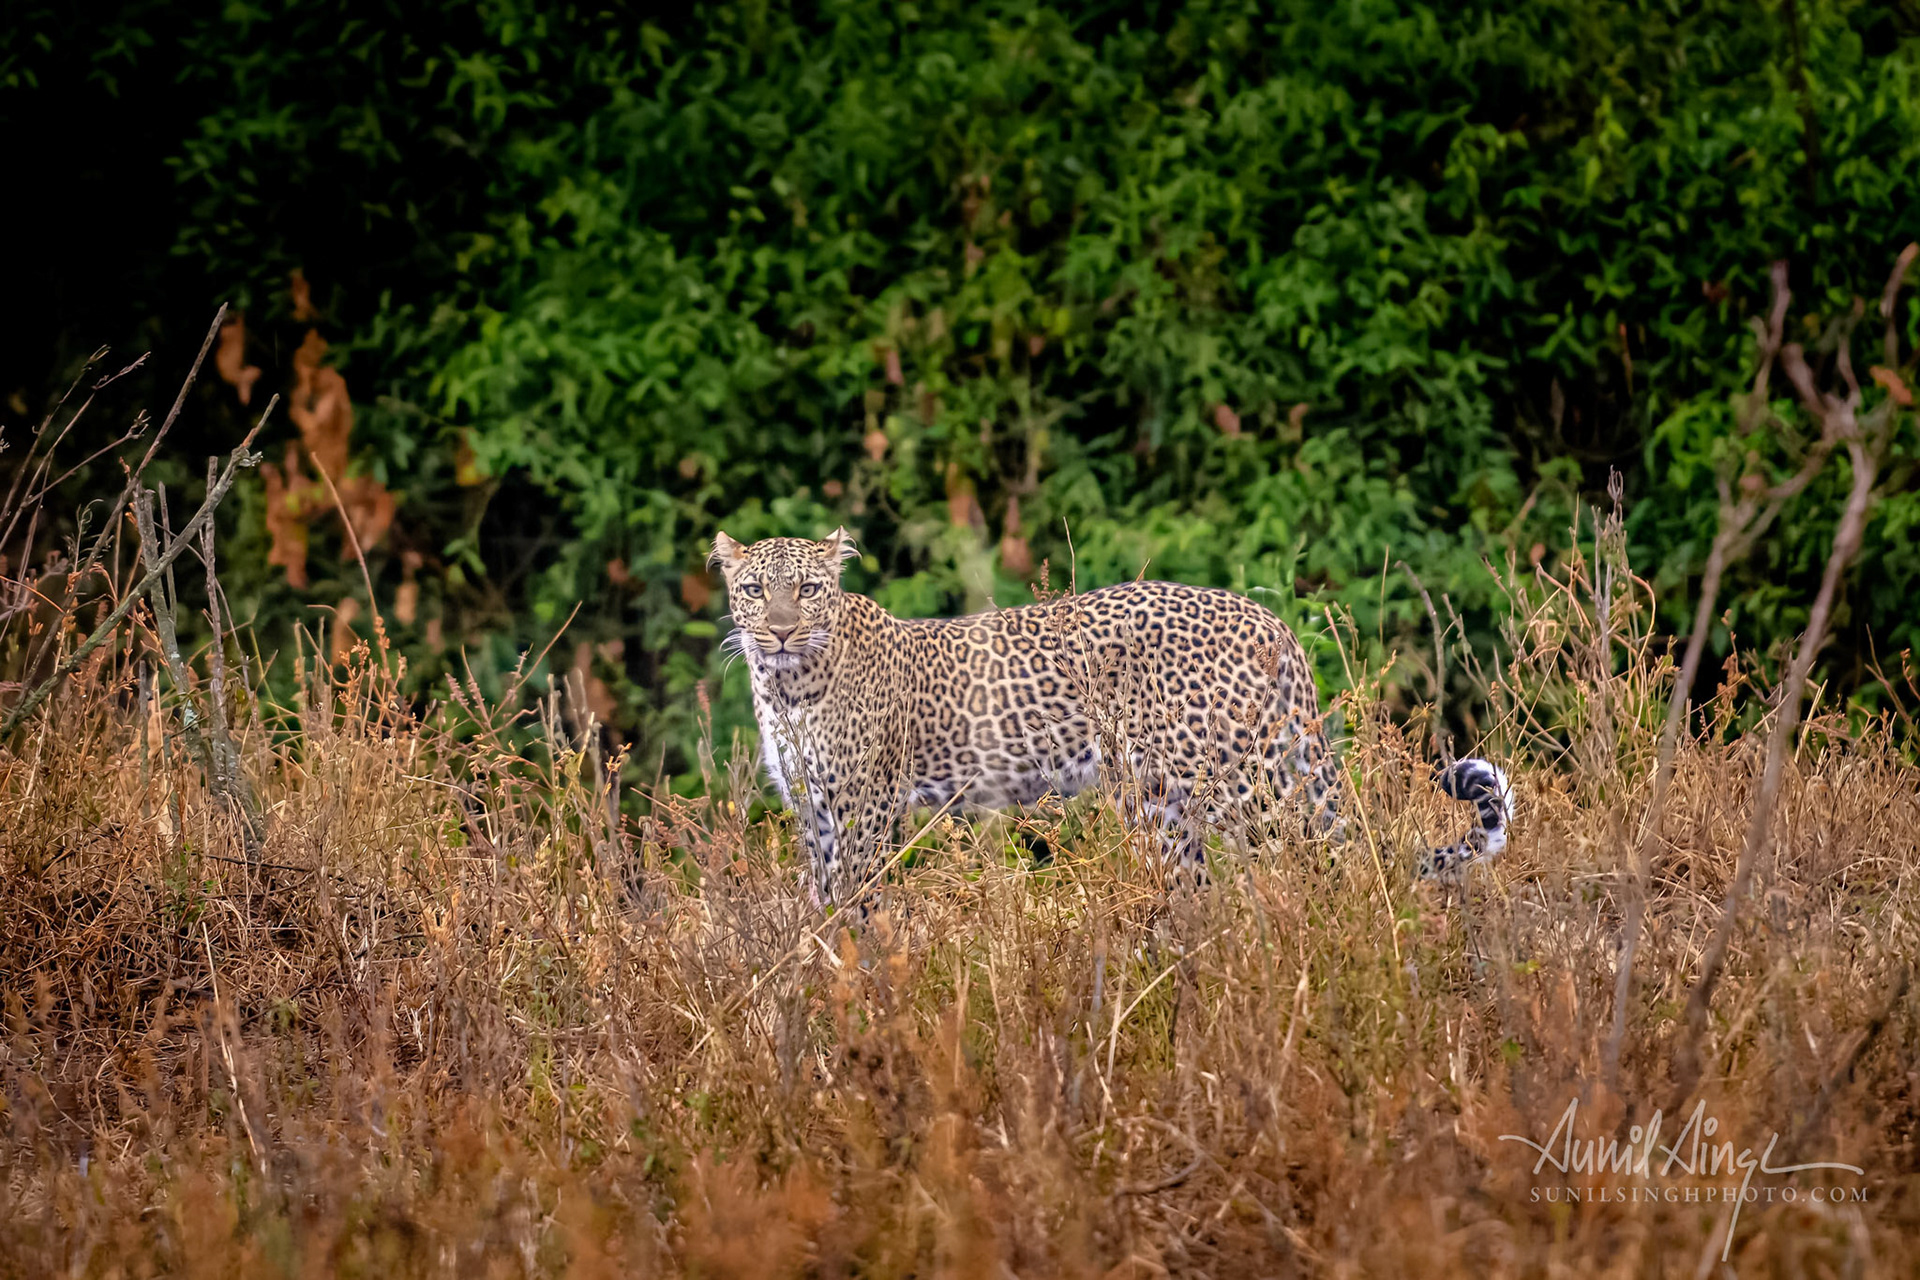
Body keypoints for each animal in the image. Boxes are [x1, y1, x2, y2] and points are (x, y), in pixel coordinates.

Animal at [711, 528, 1512, 908]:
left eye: (808, 590)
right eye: (753, 591)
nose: (778, 630)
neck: (788, 686)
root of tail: (1271, 622)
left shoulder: (867, 806)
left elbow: (856, 901)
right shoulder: (812, 809)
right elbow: (821, 901)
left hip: (1231, 784)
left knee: (1310, 865)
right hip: (1168, 803)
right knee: (1201, 889)